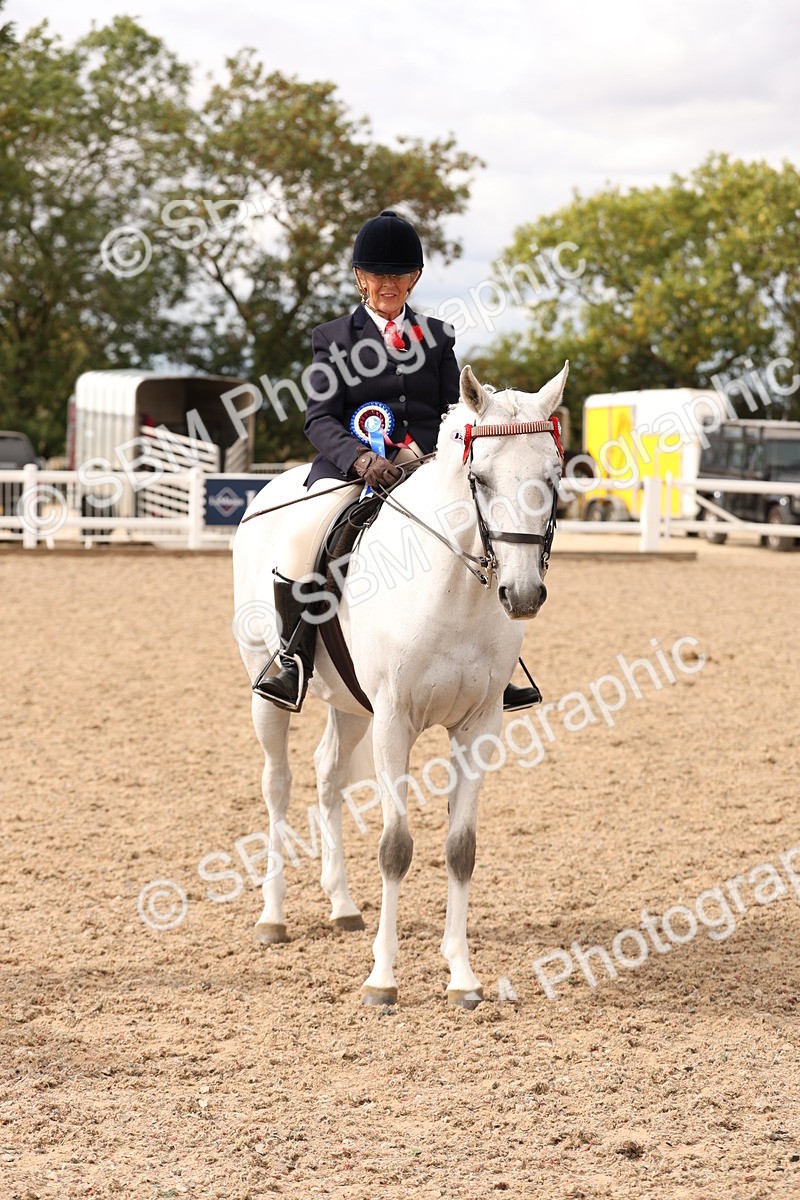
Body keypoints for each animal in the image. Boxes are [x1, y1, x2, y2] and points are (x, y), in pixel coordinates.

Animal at [232, 362, 568, 1007]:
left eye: (552, 478)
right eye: (479, 479)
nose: (522, 595)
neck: (454, 592)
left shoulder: (478, 726)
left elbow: (460, 849)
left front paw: (462, 977)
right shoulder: (394, 722)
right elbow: (395, 847)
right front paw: (382, 980)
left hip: (349, 703)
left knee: (328, 773)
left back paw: (341, 905)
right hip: (270, 690)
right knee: (277, 784)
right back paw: (273, 917)